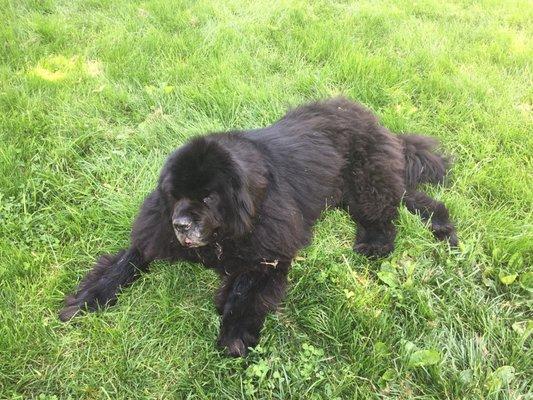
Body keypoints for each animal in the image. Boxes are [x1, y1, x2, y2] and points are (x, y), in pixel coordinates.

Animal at [60, 97, 456, 356]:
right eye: (175, 195)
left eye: (208, 198)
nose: (180, 224)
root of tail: (378, 123)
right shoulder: (154, 234)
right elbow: (123, 263)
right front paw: (87, 299)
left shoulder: (270, 251)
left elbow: (247, 289)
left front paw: (234, 333)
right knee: (415, 198)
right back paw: (443, 229)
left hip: (364, 182)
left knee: (386, 210)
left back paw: (380, 242)